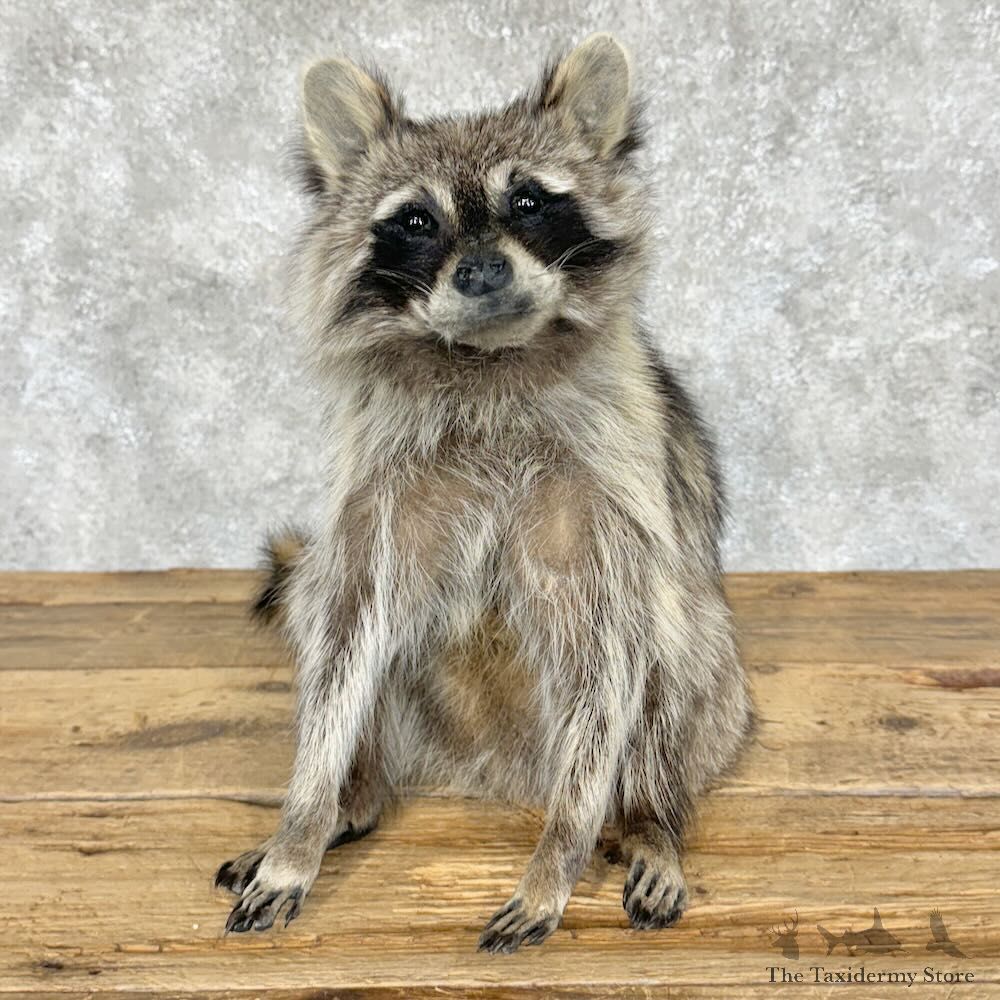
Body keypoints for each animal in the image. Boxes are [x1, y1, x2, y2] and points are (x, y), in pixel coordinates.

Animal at [214, 34, 754, 954]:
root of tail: (494, 768)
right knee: (318, 605)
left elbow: (613, 642)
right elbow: (345, 630)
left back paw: (647, 817)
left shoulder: (608, 486)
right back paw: (356, 795)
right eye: (417, 221)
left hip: (711, 680)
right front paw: (302, 821)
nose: (483, 269)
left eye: (528, 201)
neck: (486, 356)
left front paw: (560, 851)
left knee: (673, 653)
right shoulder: (377, 482)